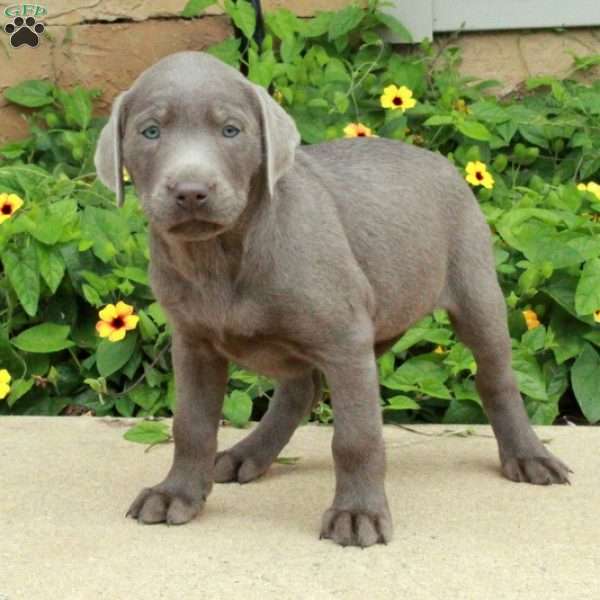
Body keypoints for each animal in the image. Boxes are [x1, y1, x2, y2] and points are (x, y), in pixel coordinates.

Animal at [96, 51, 568, 548]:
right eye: (150, 132)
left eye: (231, 130)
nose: (191, 192)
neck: (222, 255)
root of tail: (439, 159)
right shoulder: (194, 344)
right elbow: (191, 425)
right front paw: (177, 494)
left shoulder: (346, 341)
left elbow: (356, 438)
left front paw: (357, 513)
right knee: (300, 391)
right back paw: (251, 453)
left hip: (476, 289)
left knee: (496, 377)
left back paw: (528, 455)